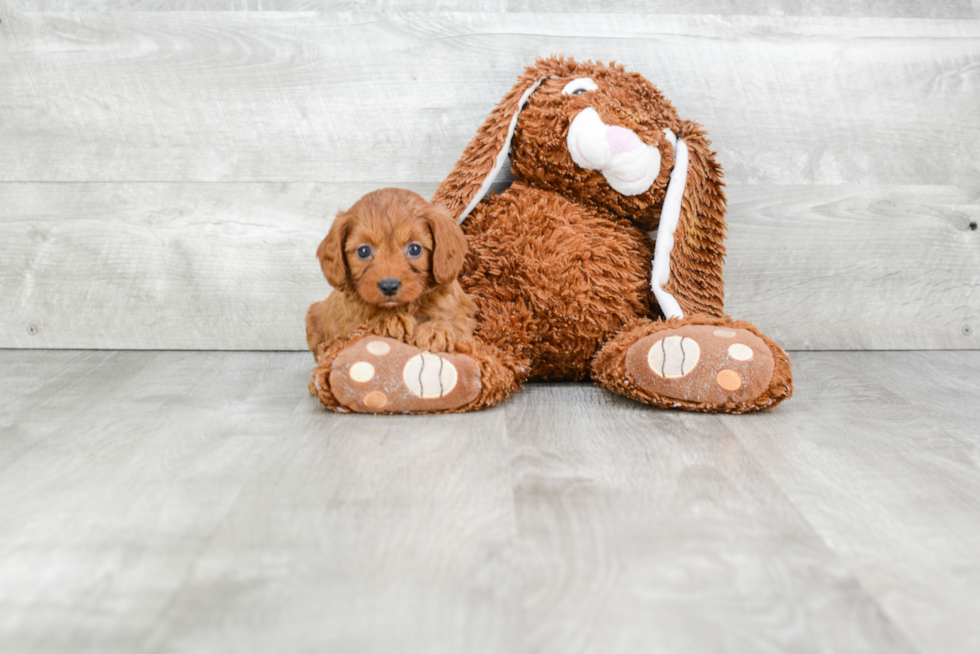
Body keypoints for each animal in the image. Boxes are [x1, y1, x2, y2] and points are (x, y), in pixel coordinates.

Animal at [304, 187, 476, 362]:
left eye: (415, 249)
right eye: (363, 251)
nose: (389, 286)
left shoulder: (460, 319)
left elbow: (455, 324)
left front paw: (436, 329)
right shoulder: (349, 326)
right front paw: (391, 319)